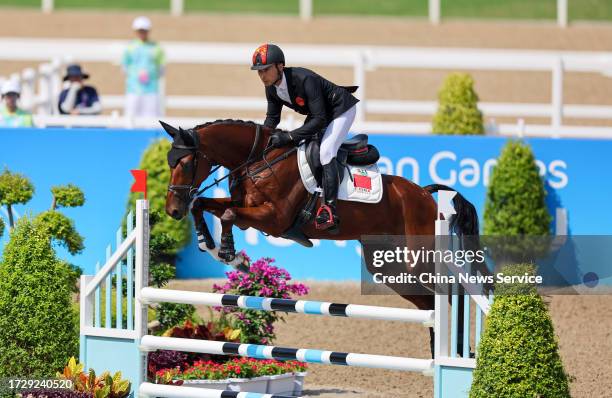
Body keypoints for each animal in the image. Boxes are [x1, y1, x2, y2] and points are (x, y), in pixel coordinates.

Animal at [164, 119, 488, 358]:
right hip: (388, 267)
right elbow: (204, 204)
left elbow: (228, 214)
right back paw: (441, 354)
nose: (172, 210)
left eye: (186, 163)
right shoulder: (246, 207)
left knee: (455, 291)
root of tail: (424, 194)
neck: (258, 160)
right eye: (170, 163)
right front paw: (208, 243)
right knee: (430, 303)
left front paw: (231, 253)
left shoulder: (274, 217)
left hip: (419, 260)